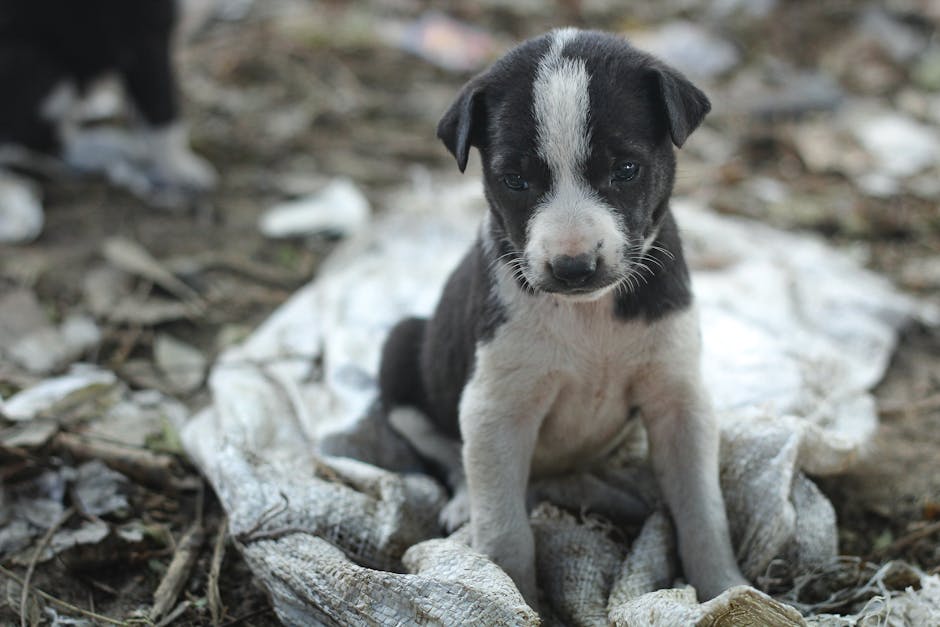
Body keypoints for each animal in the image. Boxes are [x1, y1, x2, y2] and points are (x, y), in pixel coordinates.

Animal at [378, 29, 744, 608]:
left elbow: (704, 510)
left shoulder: (679, 398)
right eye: (515, 180)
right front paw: (511, 596)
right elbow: (505, 529)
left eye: (625, 169)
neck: (589, 311)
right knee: (450, 456)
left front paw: (726, 590)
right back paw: (462, 505)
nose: (573, 267)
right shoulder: (495, 407)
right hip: (401, 349)